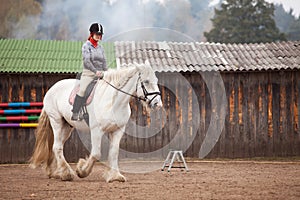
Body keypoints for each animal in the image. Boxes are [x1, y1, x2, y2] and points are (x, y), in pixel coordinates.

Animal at [29, 62, 163, 183]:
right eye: (146, 81)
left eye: (156, 80)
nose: (157, 104)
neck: (113, 102)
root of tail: (52, 88)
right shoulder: (97, 131)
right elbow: (96, 154)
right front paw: (82, 171)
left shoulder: (118, 130)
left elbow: (114, 152)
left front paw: (115, 176)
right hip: (57, 122)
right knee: (57, 147)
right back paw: (67, 174)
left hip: (67, 127)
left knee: (57, 146)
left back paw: (55, 173)